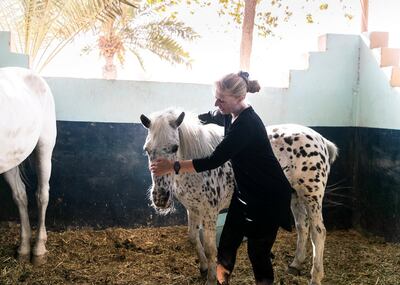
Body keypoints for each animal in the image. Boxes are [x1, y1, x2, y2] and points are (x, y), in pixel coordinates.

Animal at [0, 66, 56, 262]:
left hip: (44, 147)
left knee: (42, 195)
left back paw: (38, 248)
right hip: (11, 159)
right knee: (20, 195)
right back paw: (24, 248)